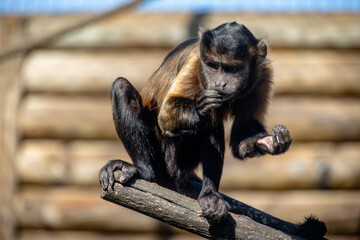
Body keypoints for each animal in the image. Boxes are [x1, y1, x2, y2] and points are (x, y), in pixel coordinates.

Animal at [99, 21, 296, 223]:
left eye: (231, 69)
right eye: (213, 66)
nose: (219, 84)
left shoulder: (263, 72)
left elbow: (243, 134)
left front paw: (269, 142)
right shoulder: (195, 62)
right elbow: (166, 114)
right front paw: (200, 108)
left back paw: (209, 194)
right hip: (167, 156)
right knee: (121, 86)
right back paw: (145, 171)